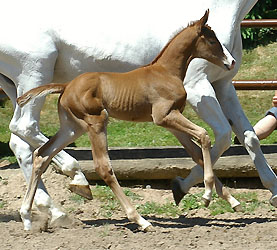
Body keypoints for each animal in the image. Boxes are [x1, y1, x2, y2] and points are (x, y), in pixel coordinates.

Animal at [1, 0, 274, 225]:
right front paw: (203, 193)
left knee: (35, 150)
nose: (230, 62)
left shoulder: (212, 93)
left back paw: (40, 214)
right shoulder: (191, 95)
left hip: (65, 120)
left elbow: (233, 140)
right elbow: (215, 136)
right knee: (35, 134)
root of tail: (66, 86)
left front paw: (248, 195)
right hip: (42, 78)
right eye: (211, 40)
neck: (164, 70)